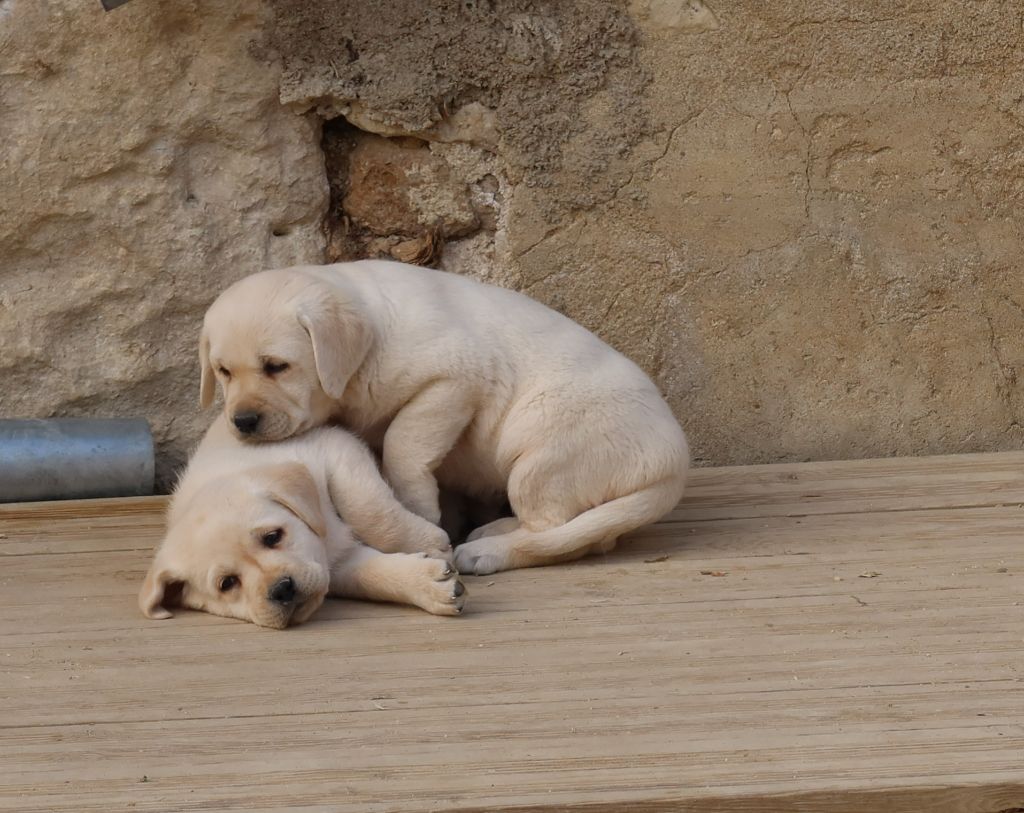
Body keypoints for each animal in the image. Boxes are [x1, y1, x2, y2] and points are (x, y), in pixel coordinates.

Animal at [139, 415, 464, 630]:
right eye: (227, 583)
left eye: (273, 536)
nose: (282, 590)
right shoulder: (332, 565)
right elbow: (371, 575)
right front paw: (429, 585)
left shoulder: (335, 449)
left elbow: (370, 510)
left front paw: (430, 542)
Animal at [198, 262, 688, 573]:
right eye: (223, 372)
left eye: (276, 366)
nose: (243, 422)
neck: (366, 349)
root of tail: (674, 466)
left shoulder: (455, 380)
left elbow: (402, 443)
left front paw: (420, 507)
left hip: (544, 451)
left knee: (560, 530)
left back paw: (487, 549)